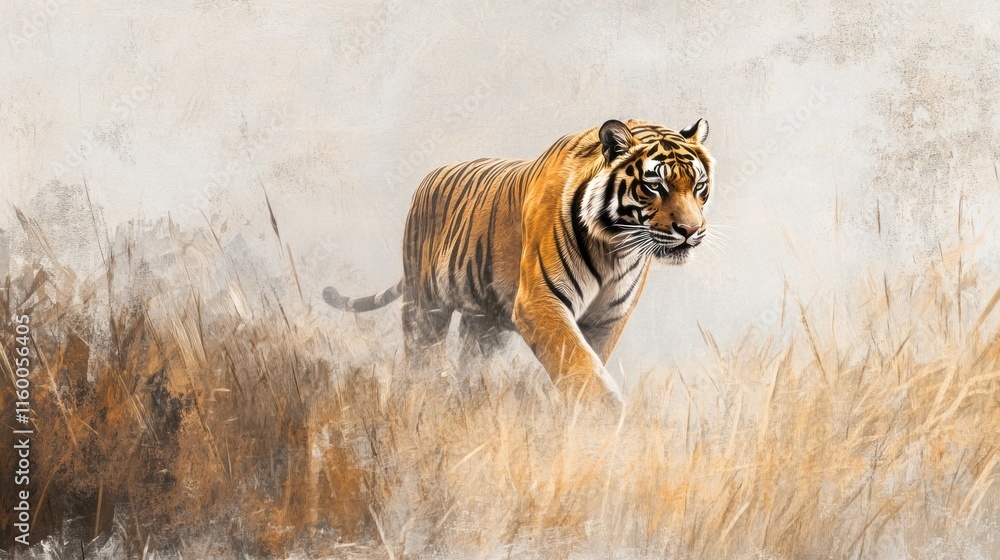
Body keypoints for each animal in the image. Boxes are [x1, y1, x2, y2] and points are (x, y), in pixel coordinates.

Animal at [324, 118, 714, 401]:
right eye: (655, 186)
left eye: (698, 186)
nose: (690, 230)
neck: (615, 248)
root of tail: (427, 179)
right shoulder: (539, 301)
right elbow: (579, 362)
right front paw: (606, 418)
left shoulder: (608, 317)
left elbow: (589, 361)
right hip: (424, 307)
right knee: (421, 359)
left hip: (485, 323)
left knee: (470, 362)